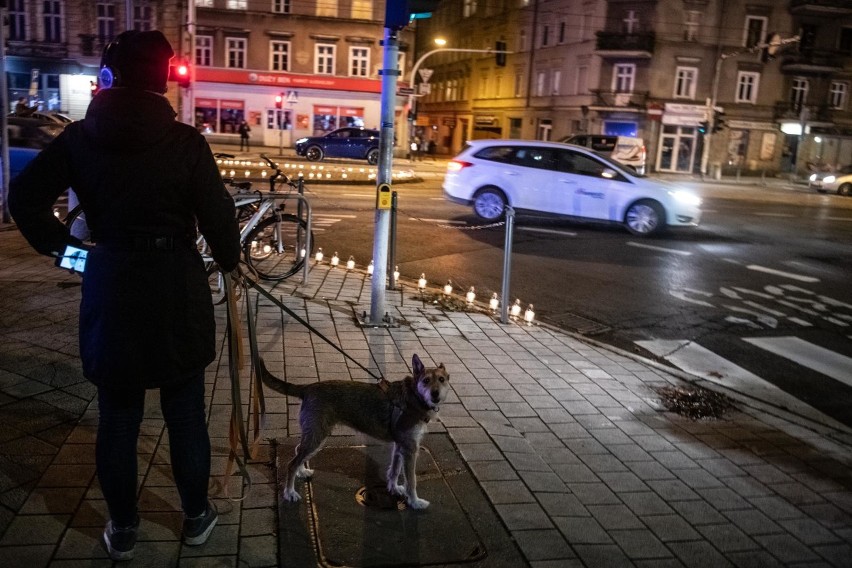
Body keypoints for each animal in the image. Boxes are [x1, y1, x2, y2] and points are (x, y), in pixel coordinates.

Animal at [256, 352, 450, 508]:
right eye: (426, 380)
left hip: (314, 435)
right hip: (317, 436)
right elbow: (411, 481)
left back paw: (301, 471)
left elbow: (394, 471)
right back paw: (289, 492)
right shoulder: (410, 450)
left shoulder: (400, 446)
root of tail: (308, 388)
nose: (435, 394)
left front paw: (394, 488)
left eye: (441, 380)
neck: (414, 397)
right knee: (291, 463)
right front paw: (415, 502)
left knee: (298, 451)